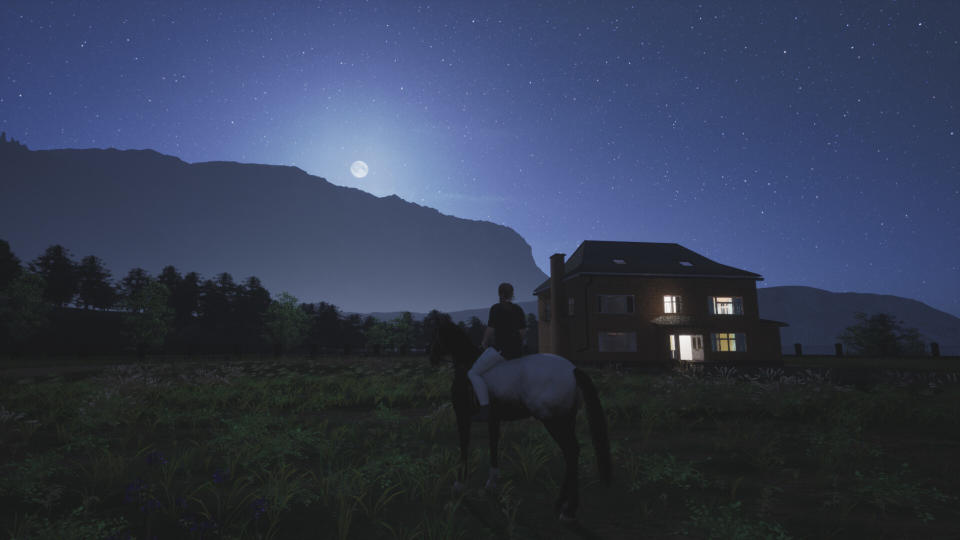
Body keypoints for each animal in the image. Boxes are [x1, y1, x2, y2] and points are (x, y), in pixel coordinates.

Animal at [430, 320, 612, 520]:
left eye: (436, 336)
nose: (431, 358)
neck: (466, 364)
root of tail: (573, 369)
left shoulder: (463, 417)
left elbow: (464, 446)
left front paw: (459, 485)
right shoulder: (493, 419)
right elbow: (493, 445)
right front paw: (492, 483)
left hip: (554, 421)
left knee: (571, 451)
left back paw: (569, 510)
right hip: (567, 420)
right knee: (571, 454)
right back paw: (560, 503)